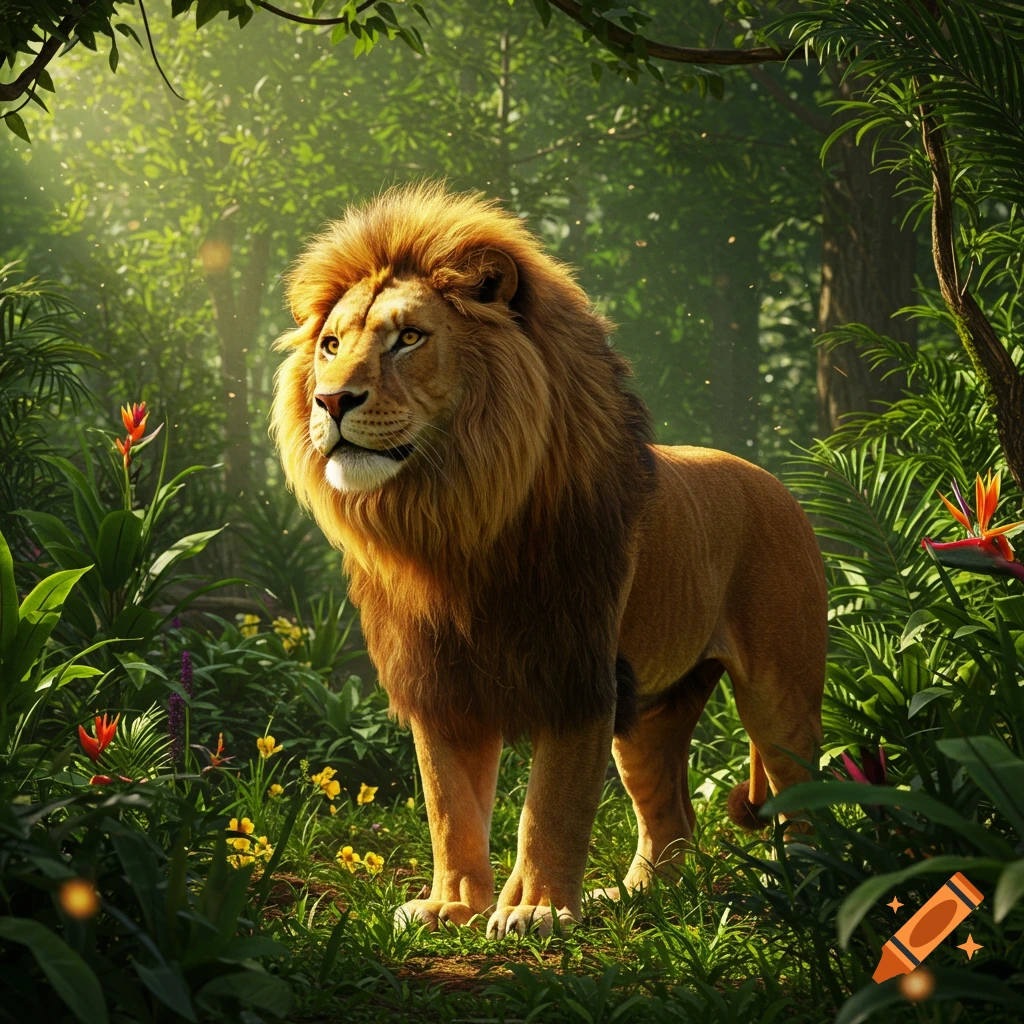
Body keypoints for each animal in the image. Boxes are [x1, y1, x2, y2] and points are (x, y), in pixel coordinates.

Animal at [271, 183, 827, 938]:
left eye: (408, 338)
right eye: (331, 345)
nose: (330, 400)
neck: (453, 521)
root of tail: (774, 482)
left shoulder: (578, 674)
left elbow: (552, 806)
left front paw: (534, 910)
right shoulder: (440, 684)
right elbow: (448, 806)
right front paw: (452, 905)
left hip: (778, 688)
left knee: (802, 788)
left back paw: (802, 882)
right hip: (654, 709)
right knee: (672, 816)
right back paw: (635, 898)